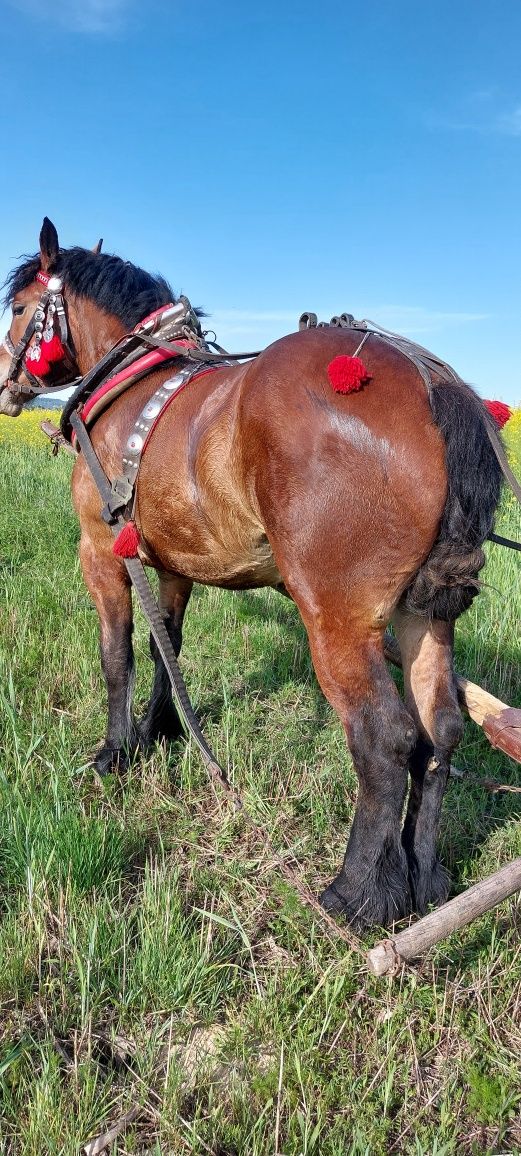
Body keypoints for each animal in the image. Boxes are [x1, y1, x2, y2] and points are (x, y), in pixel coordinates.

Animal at [0, 218, 505, 929]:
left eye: (19, 308)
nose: (6, 387)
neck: (132, 386)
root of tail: (436, 385)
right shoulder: (174, 563)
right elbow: (166, 650)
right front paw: (161, 733)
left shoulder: (101, 554)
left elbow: (117, 655)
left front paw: (113, 752)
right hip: (424, 615)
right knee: (439, 733)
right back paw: (424, 878)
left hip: (337, 617)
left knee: (384, 739)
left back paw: (354, 896)